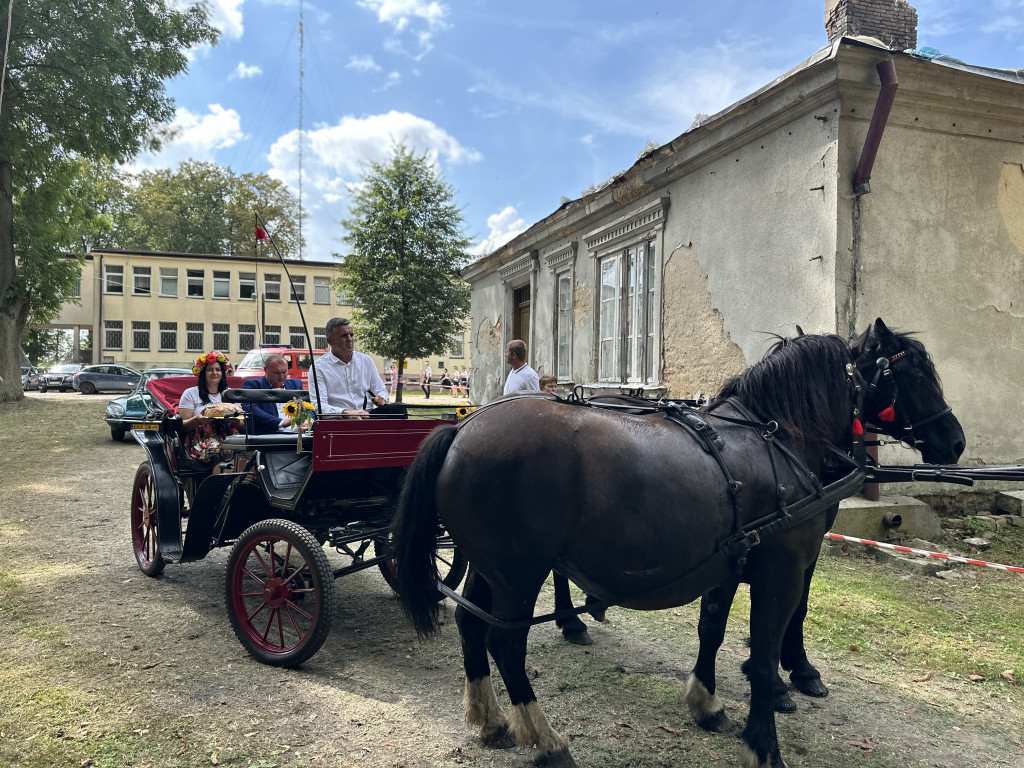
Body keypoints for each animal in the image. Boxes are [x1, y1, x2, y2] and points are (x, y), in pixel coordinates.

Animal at [387, 323, 962, 768]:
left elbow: (712, 631)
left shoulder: (728, 565)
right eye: (913, 372)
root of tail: (464, 430)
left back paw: (491, 721)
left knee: (471, 625)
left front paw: (708, 704)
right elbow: (766, 651)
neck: (776, 439)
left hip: (491, 567)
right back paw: (547, 740)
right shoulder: (781, 572)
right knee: (505, 643)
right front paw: (765, 740)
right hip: (518, 572)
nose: (955, 441)